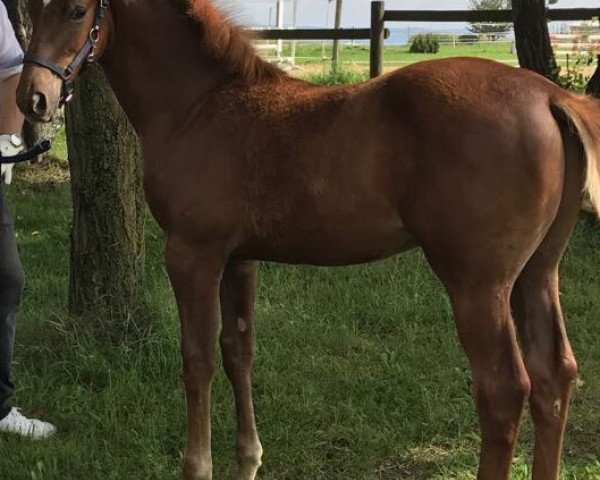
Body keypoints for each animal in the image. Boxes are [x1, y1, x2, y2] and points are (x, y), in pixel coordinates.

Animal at [16, 0, 600, 480]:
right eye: (31, 5)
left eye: (76, 10)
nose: (33, 99)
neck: (199, 106)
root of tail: (551, 97)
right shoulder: (240, 258)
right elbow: (238, 350)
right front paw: (249, 459)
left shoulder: (191, 255)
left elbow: (197, 358)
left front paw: (198, 466)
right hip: (536, 273)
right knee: (554, 377)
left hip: (477, 284)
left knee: (504, 391)